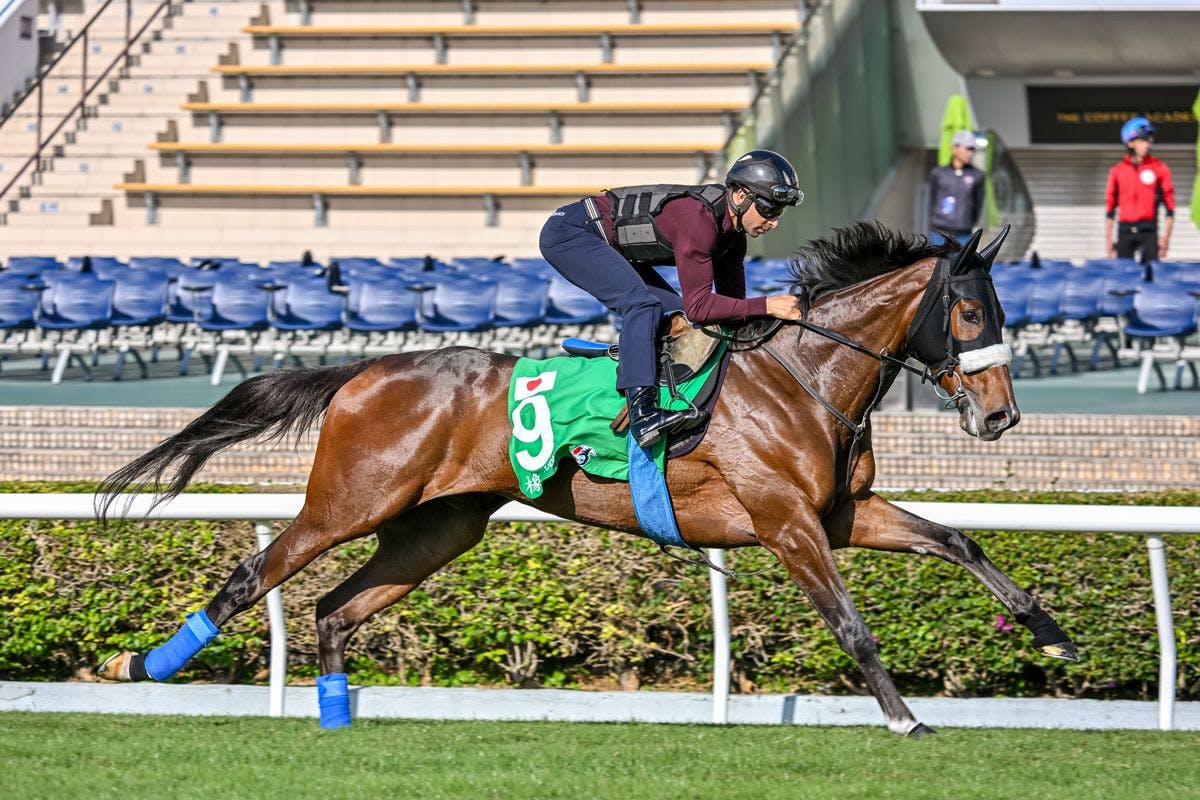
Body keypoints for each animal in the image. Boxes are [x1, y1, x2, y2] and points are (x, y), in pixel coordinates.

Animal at [96, 221, 1080, 734]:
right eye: (967, 312)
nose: (1000, 417)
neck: (803, 374)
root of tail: (369, 370)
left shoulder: (844, 512)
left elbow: (957, 539)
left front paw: (1050, 631)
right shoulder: (786, 522)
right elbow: (851, 623)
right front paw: (906, 717)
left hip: (438, 526)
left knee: (334, 609)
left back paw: (337, 723)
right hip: (349, 500)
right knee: (251, 576)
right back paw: (141, 664)